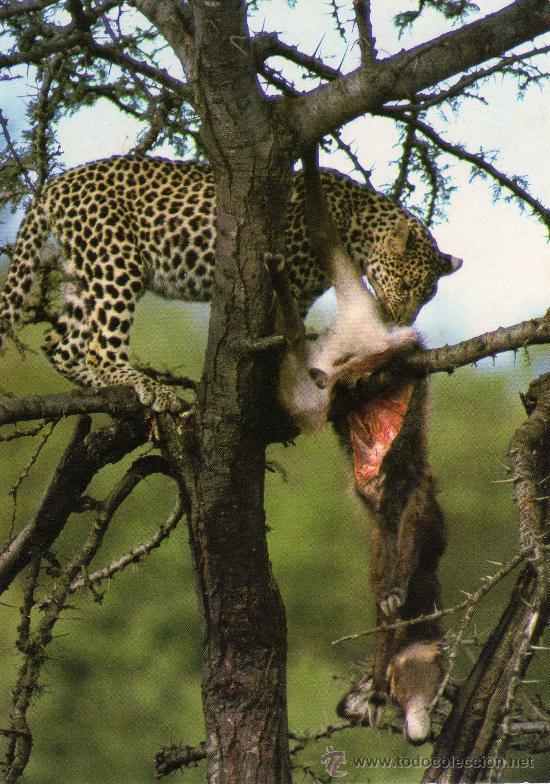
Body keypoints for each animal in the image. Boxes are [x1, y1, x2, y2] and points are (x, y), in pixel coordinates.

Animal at [0, 155, 461, 412]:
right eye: (407, 288)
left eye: (425, 298)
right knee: (96, 347)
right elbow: (288, 333)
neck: (356, 225)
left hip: (83, 272)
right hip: (117, 260)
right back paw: (147, 387)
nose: (401, 320)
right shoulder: (292, 283)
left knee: (60, 345)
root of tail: (55, 184)